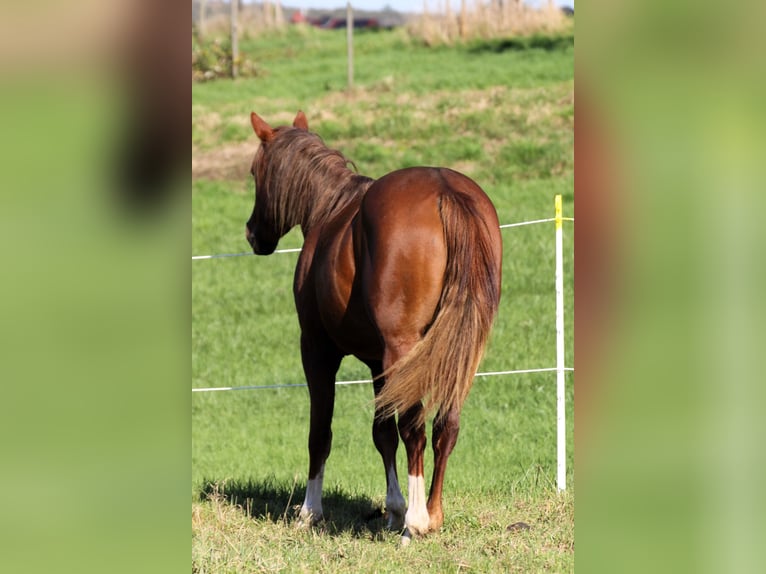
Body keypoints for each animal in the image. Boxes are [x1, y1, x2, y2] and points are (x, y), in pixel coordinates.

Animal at [246, 111, 504, 544]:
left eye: (253, 171)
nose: (252, 234)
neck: (329, 210)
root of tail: (445, 191)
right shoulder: (376, 361)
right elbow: (382, 434)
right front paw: (392, 510)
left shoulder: (317, 349)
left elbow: (321, 433)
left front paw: (310, 513)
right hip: (461, 350)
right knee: (445, 425)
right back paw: (432, 514)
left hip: (404, 348)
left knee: (415, 428)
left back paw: (416, 524)